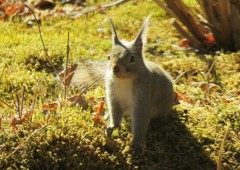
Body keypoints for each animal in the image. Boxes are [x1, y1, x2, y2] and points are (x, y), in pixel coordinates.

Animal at [105, 15, 174, 151]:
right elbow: (115, 112)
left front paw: (136, 144)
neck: (124, 81)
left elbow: (140, 120)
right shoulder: (113, 95)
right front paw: (113, 128)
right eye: (109, 57)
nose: (115, 69)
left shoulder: (143, 96)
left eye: (132, 59)